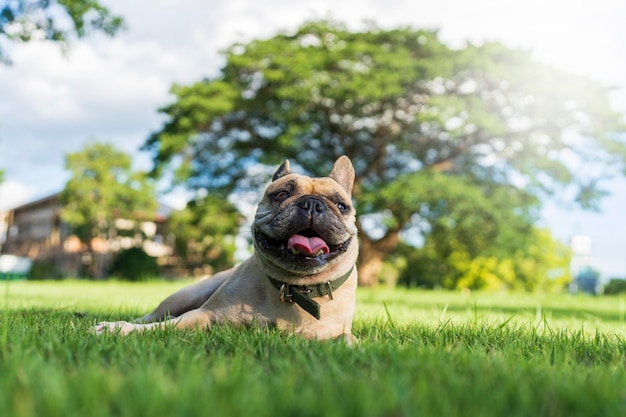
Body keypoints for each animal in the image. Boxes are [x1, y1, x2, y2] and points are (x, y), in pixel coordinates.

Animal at [92, 156, 356, 342]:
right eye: (281, 194)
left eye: (342, 206)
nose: (312, 203)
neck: (291, 288)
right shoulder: (203, 314)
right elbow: (165, 326)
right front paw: (120, 329)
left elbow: (346, 339)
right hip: (186, 294)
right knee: (155, 315)